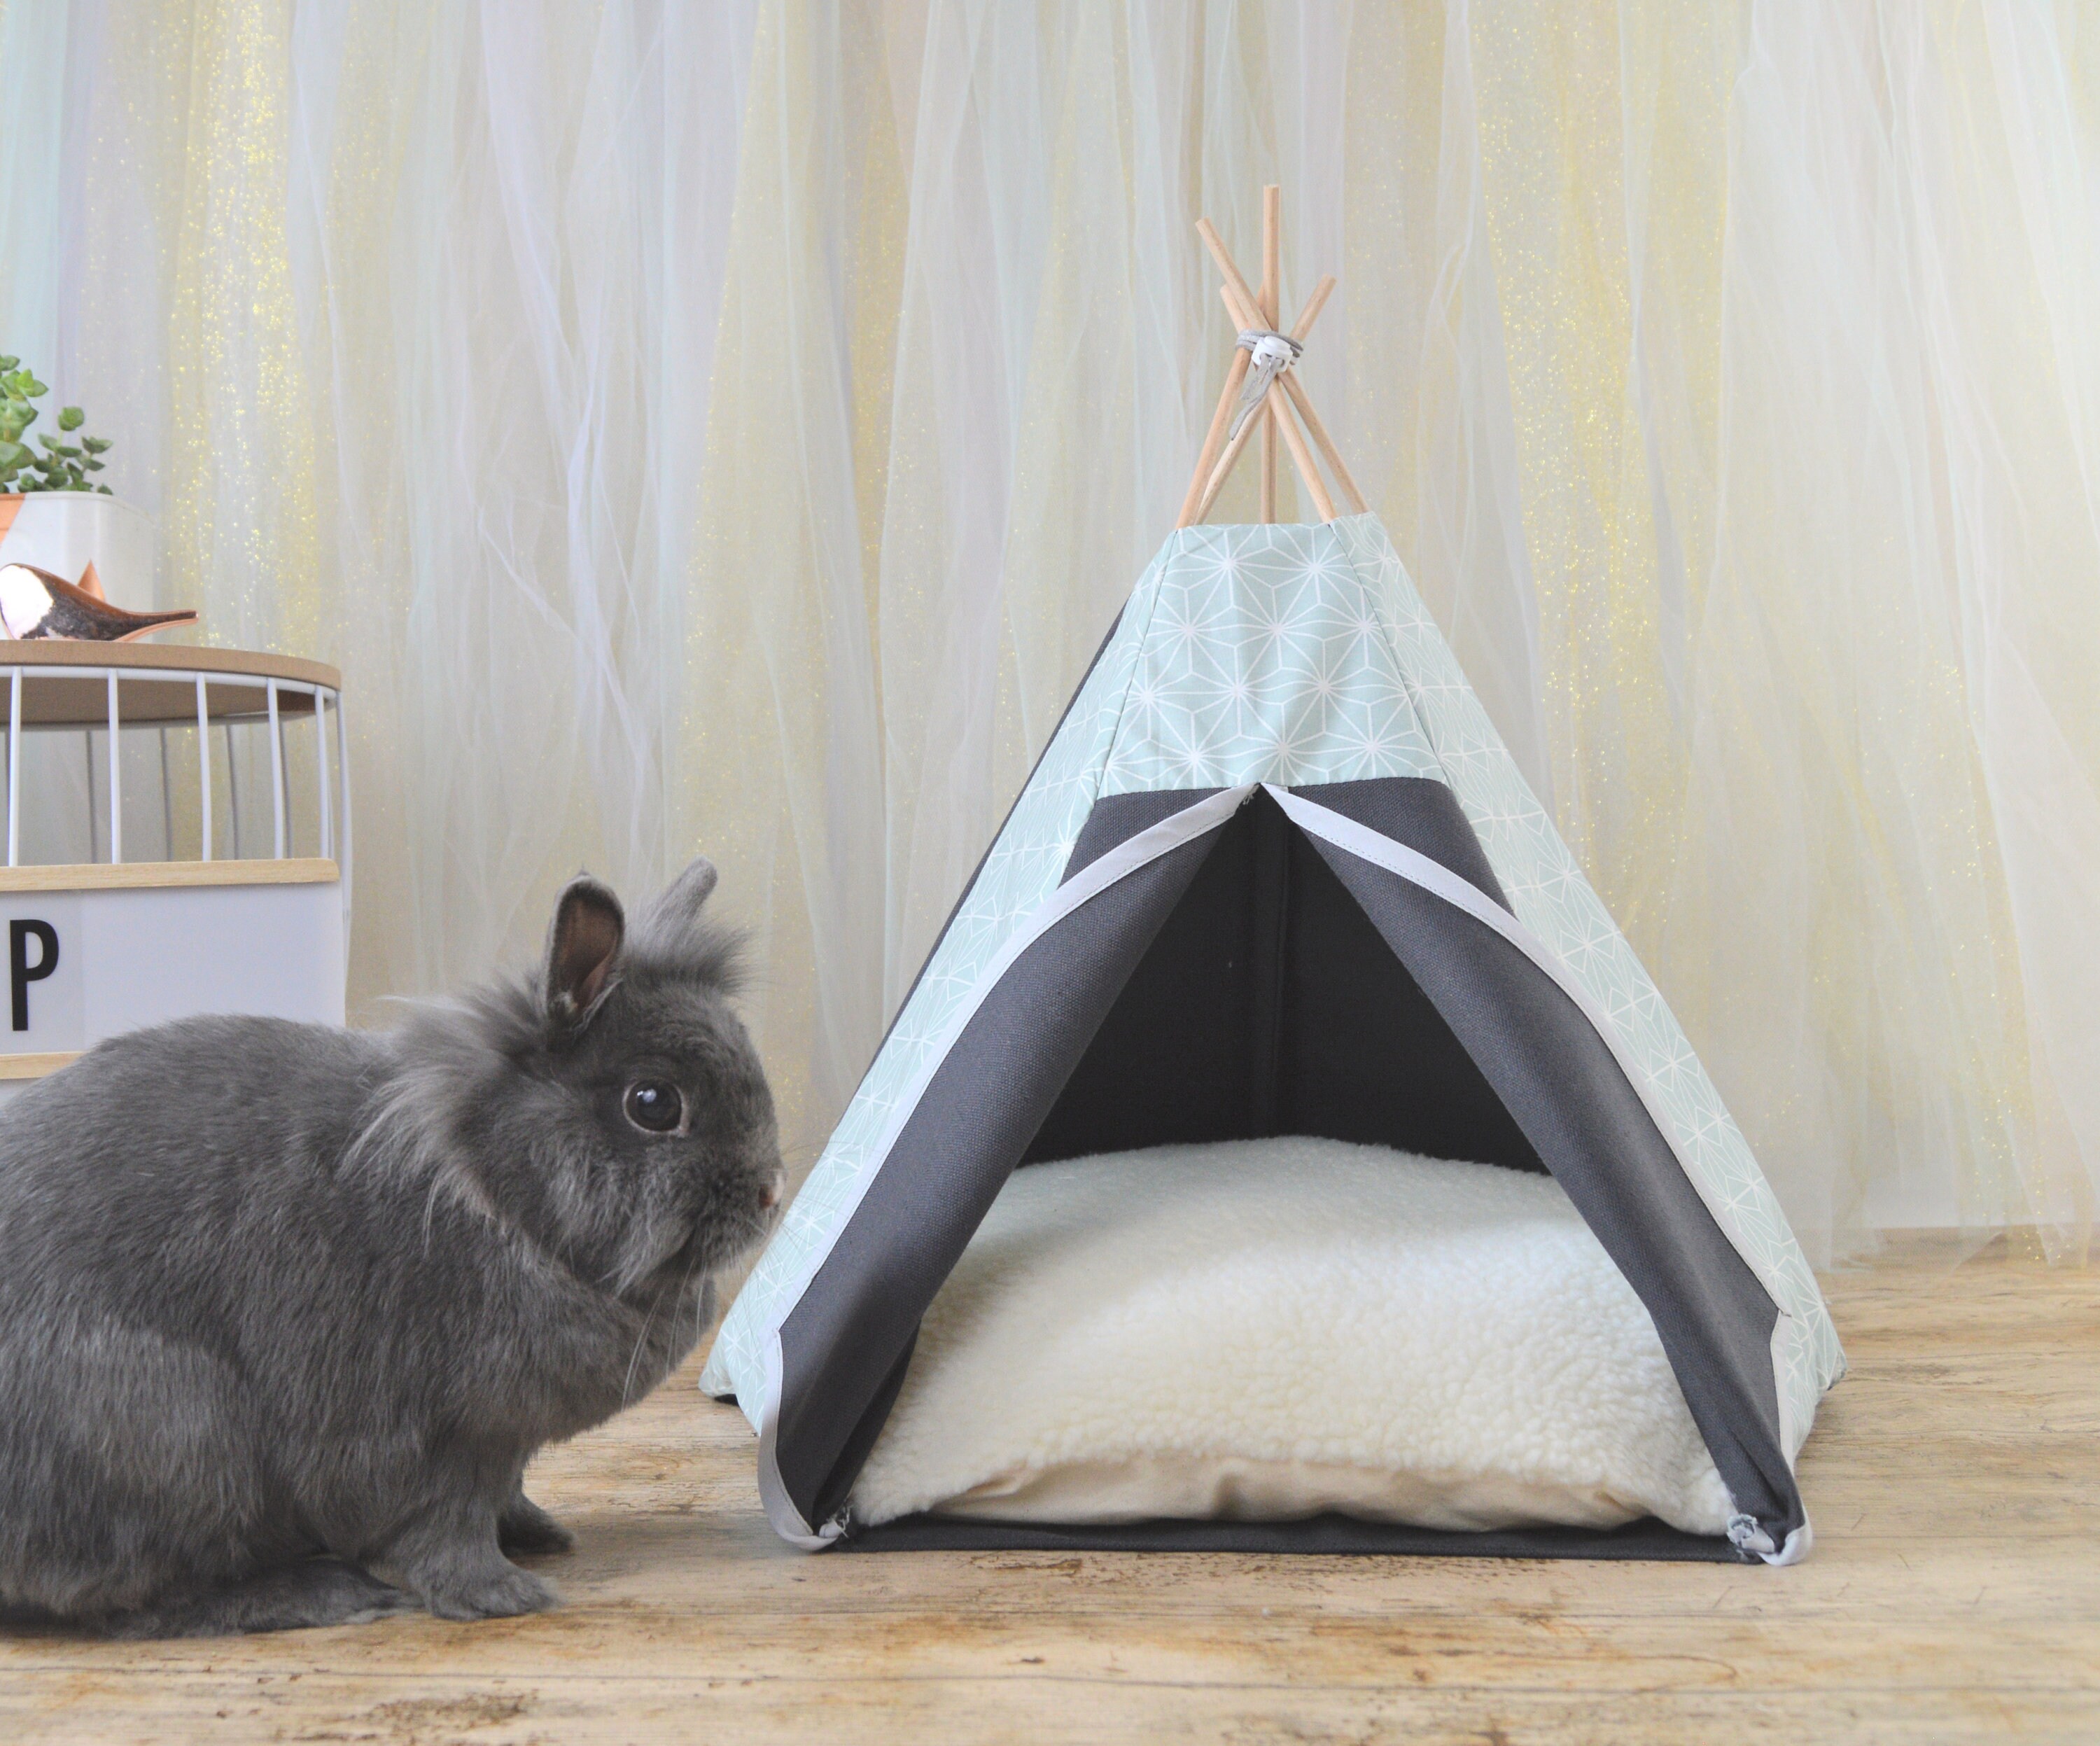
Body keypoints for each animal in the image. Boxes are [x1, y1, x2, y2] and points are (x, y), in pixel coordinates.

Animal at [0, 856, 781, 1638]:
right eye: (654, 1104)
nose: (771, 1192)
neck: (495, 1194)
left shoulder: (504, 1448)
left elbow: (510, 1495)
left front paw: (542, 1535)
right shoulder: (434, 1443)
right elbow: (444, 1532)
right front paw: (505, 1595)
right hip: (178, 1441)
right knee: (140, 1600)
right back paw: (323, 1593)